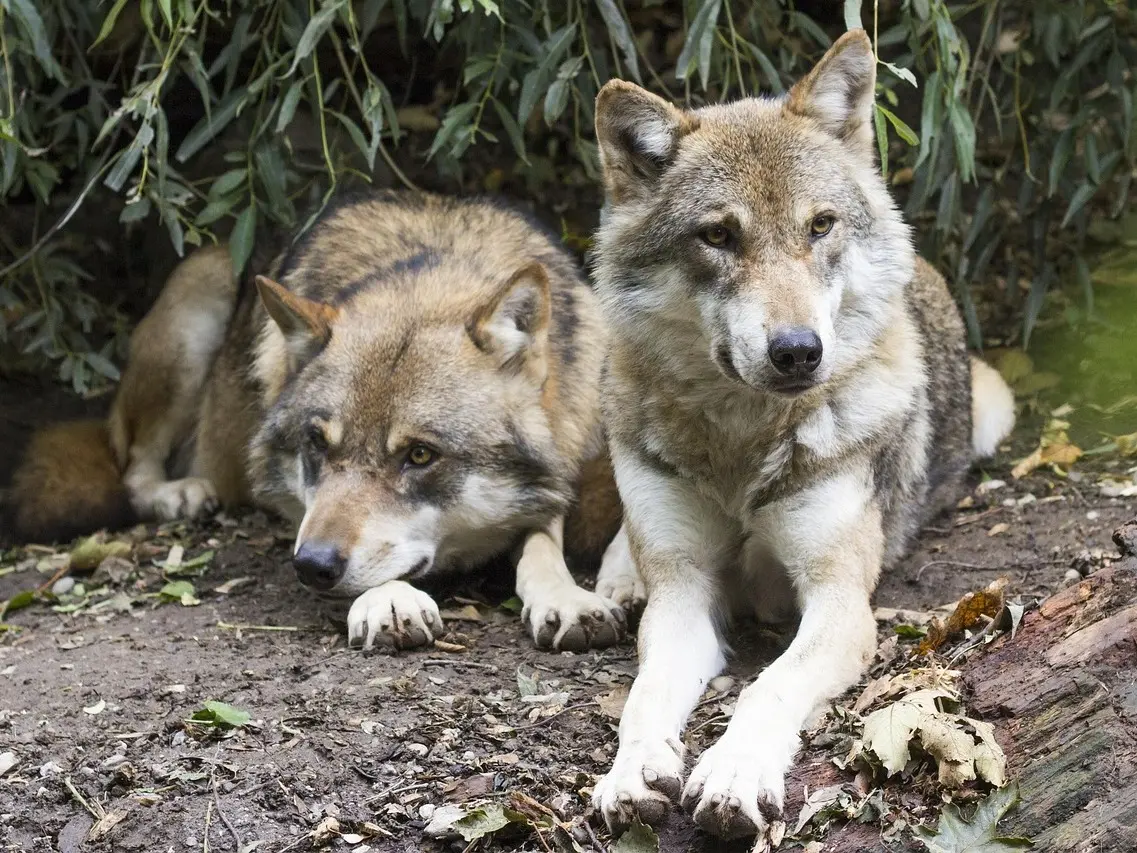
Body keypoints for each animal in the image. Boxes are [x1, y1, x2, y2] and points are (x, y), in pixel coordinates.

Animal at [4, 190, 637, 652]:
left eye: (420, 455)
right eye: (316, 444)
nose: (311, 566)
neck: (434, 266)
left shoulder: (571, 463)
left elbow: (546, 538)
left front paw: (568, 596)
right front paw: (390, 599)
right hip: (196, 307)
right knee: (132, 465)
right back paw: (178, 494)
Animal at [587, 30, 1016, 841]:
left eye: (819, 226)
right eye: (718, 235)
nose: (796, 351)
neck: (740, 444)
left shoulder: (839, 600)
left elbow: (768, 686)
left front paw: (733, 772)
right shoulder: (684, 593)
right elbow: (644, 695)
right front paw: (631, 772)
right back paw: (614, 583)